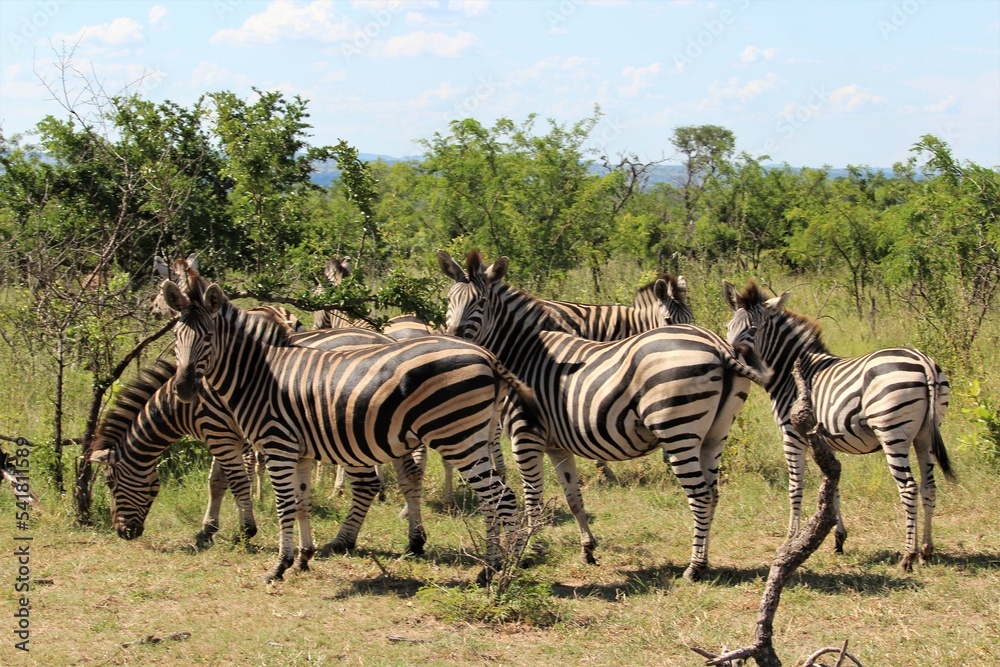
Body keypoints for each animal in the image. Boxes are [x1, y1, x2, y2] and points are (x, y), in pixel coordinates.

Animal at [156, 274, 535, 583]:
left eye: (207, 337)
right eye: (176, 336)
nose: (185, 388)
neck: (258, 375)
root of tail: (488, 356)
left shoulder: (278, 445)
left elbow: (283, 505)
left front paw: (279, 566)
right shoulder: (301, 451)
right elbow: (302, 503)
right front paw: (303, 558)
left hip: (457, 435)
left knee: (499, 497)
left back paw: (503, 569)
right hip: (477, 434)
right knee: (494, 496)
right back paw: (492, 566)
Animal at [438, 250, 771, 580]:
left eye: (481, 302)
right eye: (449, 299)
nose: (455, 338)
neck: (525, 355)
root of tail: (718, 346)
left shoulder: (526, 436)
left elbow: (533, 500)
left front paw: (529, 553)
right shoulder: (557, 444)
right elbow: (573, 497)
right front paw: (587, 549)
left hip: (679, 431)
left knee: (700, 495)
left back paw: (694, 567)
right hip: (715, 435)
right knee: (713, 493)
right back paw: (705, 560)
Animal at [722, 280, 954, 571]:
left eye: (752, 330)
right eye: (728, 327)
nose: (730, 361)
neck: (790, 372)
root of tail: (923, 362)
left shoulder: (792, 434)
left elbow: (796, 486)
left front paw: (790, 540)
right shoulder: (822, 437)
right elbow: (832, 486)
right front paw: (838, 538)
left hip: (893, 432)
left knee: (909, 488)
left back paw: (907, 556)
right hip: (925, 434)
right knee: (929, 486)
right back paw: (926, 550)